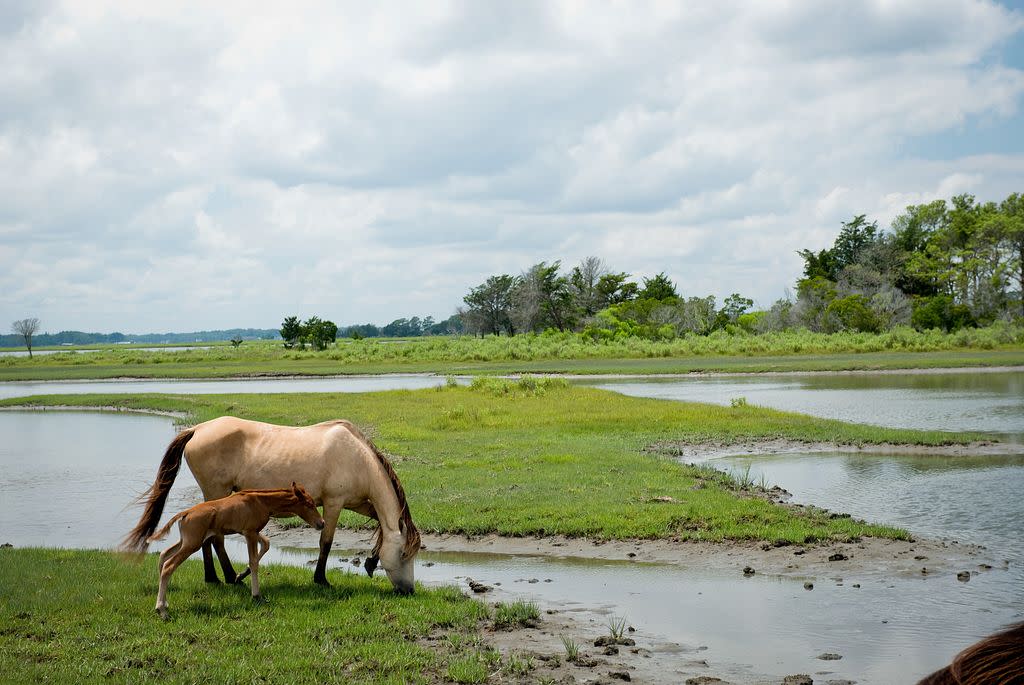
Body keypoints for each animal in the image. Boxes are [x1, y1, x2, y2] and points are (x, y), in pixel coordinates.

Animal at [122, 417, 419, 593]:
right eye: (404, 554)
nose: (408, 590)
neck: (357, 457)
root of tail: (197, 429)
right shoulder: (334, 504)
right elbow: (326, 542)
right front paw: (321, 579)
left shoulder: (359, 504)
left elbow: (379, 525)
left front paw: (370, 561)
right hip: (215, 491)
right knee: (215, 538)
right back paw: (229, 577)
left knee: (209, 537)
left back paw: (216, 577)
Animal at [145, 481, 323, 618]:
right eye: (309, 504)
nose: (321, 523)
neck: (261, 501)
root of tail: (185, 512)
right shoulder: (250, 532)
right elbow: (254, 561)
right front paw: (256, 595)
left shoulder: (250, 532)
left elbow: (266, 544)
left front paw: (240, 575)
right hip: (192, 544)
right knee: (169, 565)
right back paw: (161, 610)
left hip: (186, 541)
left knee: (164, 554)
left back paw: (164, 602)